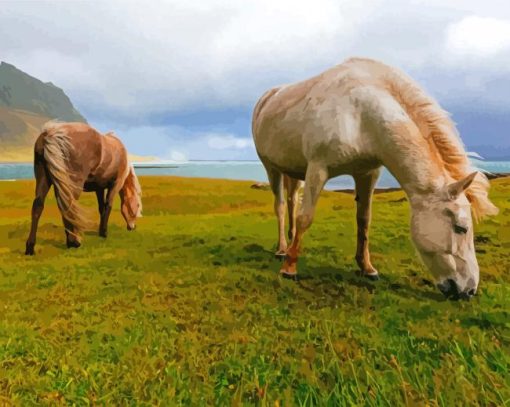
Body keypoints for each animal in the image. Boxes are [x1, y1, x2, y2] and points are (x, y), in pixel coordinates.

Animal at [24, 121, 141, 255]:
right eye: (137, 206)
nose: (132, 226)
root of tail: (51, 133)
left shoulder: (99, 188)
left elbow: (101, 208)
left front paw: (100, 231)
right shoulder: (116, 184)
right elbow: (108, 206)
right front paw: (104, 232)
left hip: (43, 179)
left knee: (38, 206)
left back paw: (30, 247)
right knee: (68, 206)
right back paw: (73, 242)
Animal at [252, 57, 498, 300]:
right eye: (460, 228)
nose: (469, 290)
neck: (361, 114)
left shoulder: (367, 174)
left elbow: (364, 220)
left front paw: (367, 268)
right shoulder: (317, 169)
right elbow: (306, 217)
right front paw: (289, 269)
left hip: (294, 172)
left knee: (292, 202)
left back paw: (290, 242)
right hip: (272, 168)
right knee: (281, 206)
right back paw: (282, 249)